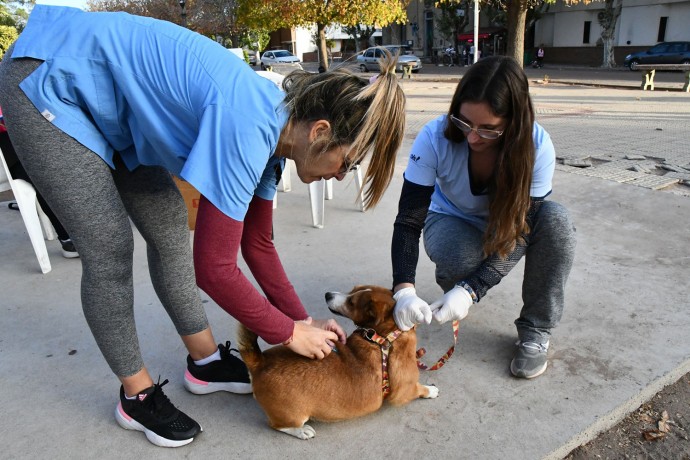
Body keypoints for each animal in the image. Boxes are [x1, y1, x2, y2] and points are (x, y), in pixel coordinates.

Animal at [236, 284, 438, 438]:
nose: (327, 294)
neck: (384, 338)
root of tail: (259, 361)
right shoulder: (405, 391)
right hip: (294, 415)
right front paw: (431, 390)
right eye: (352, 295)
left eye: (351, 301)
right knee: (278, 425)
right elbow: (420, 389)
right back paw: (302, 431)